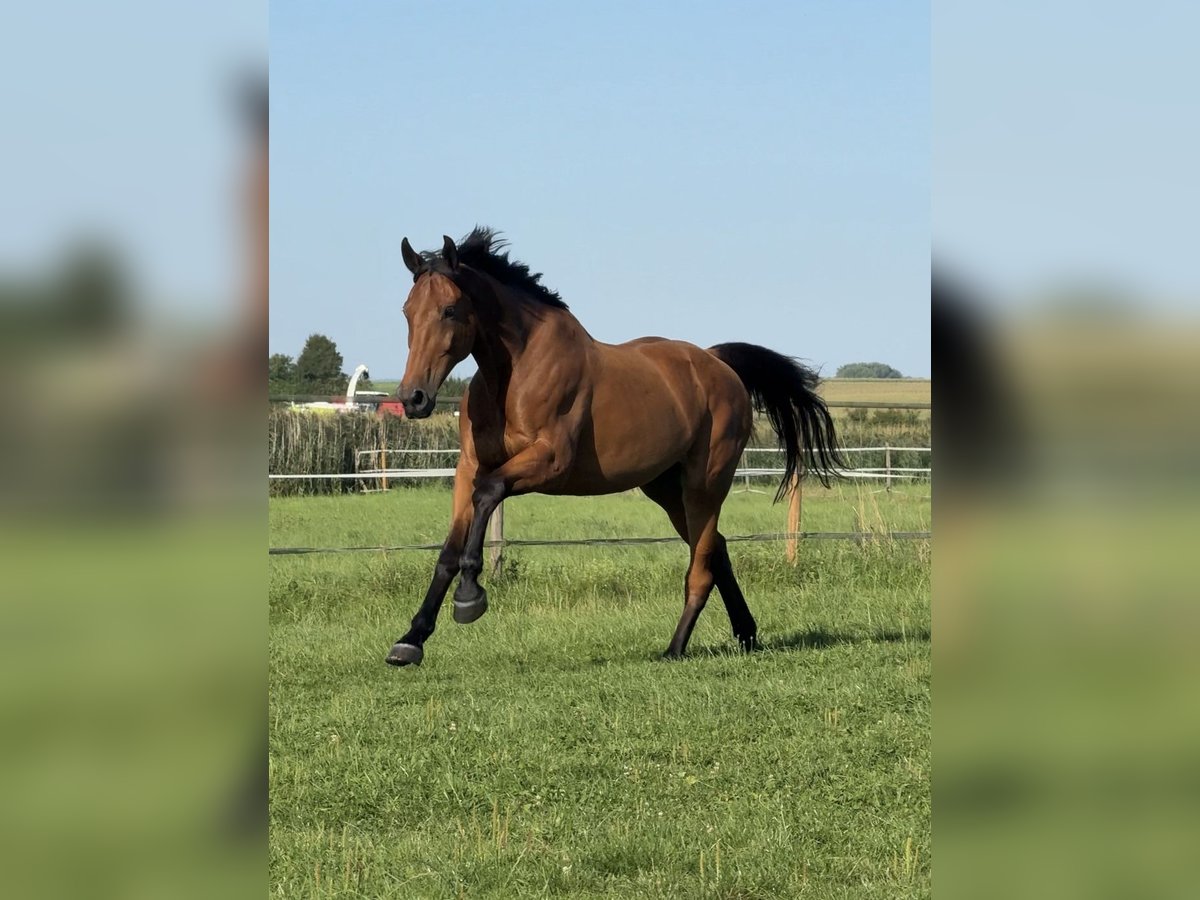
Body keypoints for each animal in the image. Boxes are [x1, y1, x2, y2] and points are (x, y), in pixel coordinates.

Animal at [386, 227, 844, 667]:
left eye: (449, 310)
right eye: (407, 311)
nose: (414, 398)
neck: (514, 373)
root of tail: (718, 363)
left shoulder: (549, 461)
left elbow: (488, 494)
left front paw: (469, 596)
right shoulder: (470, 466)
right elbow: (448, 550)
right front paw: (411, 640)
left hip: (706, 485)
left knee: (701, 567)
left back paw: (675, 648)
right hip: (666, 489)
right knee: (715, 550)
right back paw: (746, 634)